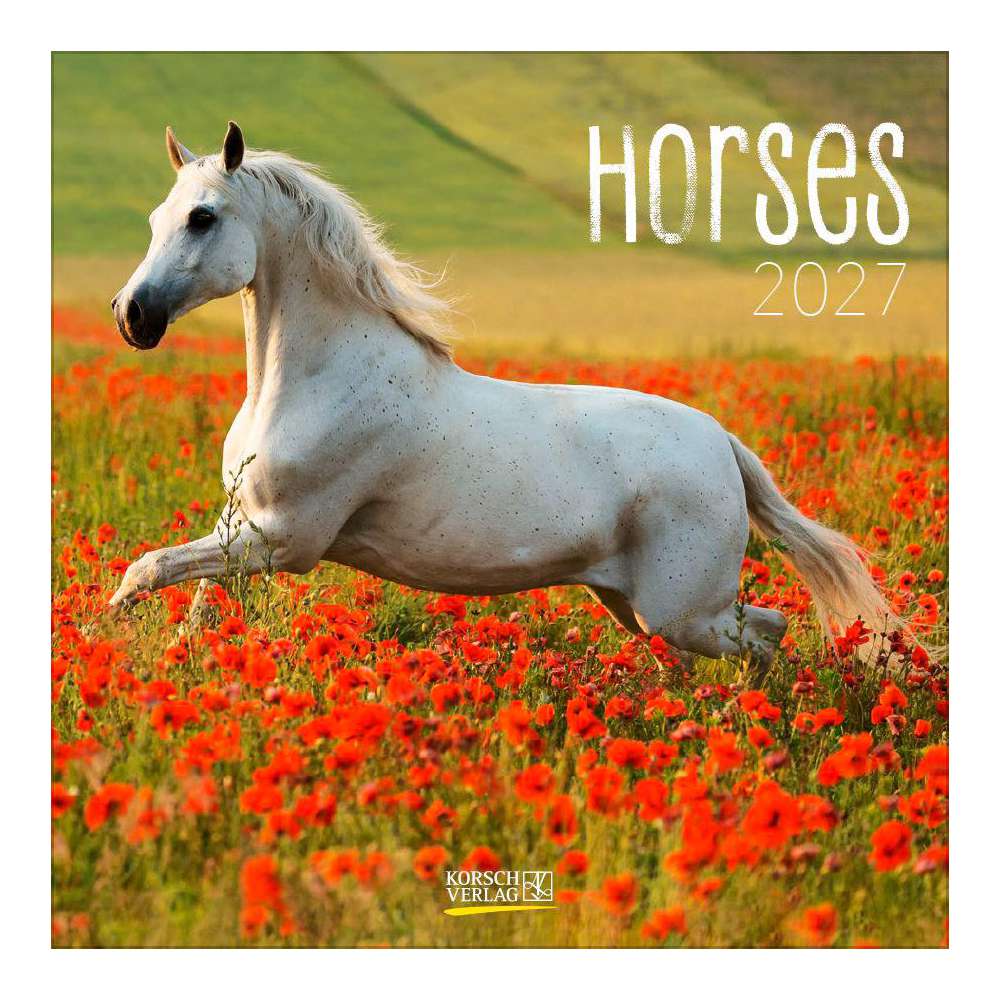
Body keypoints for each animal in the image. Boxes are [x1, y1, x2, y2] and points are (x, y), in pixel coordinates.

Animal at [109, 121, 892, 673]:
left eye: (203, 217)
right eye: (152, 218)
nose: (131, 315)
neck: (317, 380)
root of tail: (723, 443)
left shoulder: (284, 539)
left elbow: (150, 567)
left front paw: (111, 620)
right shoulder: (239, 526)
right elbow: (196, 605)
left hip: (683, 608)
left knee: (770, 633)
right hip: (638, 605)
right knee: (761, 633)